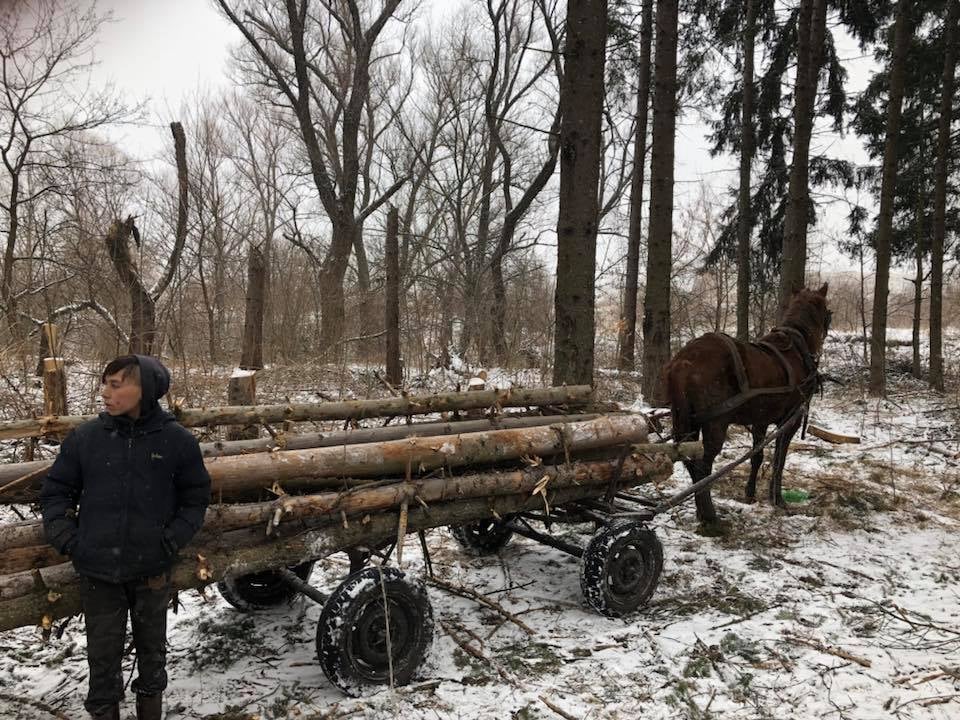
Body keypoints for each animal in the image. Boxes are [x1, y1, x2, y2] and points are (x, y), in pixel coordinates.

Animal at [664, 282, 828, 524]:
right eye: (828, 313)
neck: (797, 351)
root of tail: (683, 361)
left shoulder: (760, 420)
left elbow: (757, 456)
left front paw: (750, 493)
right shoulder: (789, 421)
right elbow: (779, 459)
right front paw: (777, 498)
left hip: (687, 421)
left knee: (691, 461)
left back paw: (701, 511)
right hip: (715, 423)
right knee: (703, 466)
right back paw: (710, 516)